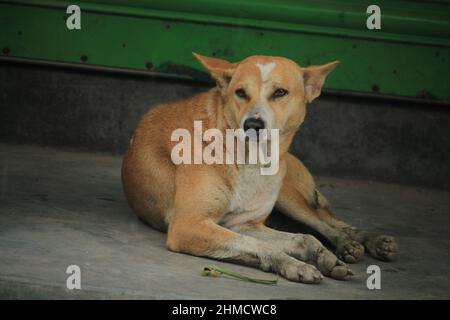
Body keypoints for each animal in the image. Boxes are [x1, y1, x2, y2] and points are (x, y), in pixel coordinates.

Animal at [120, 53, 398, 284]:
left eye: (281, 92)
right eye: (241, 93)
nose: (252, 125)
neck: (248, 161)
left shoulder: (242, 223)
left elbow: (304, 238)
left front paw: (323, 255)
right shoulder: (192, 225)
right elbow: (264, 244)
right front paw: (294, 264)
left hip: (289, 196)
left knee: (325, 223)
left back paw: (361, 241)